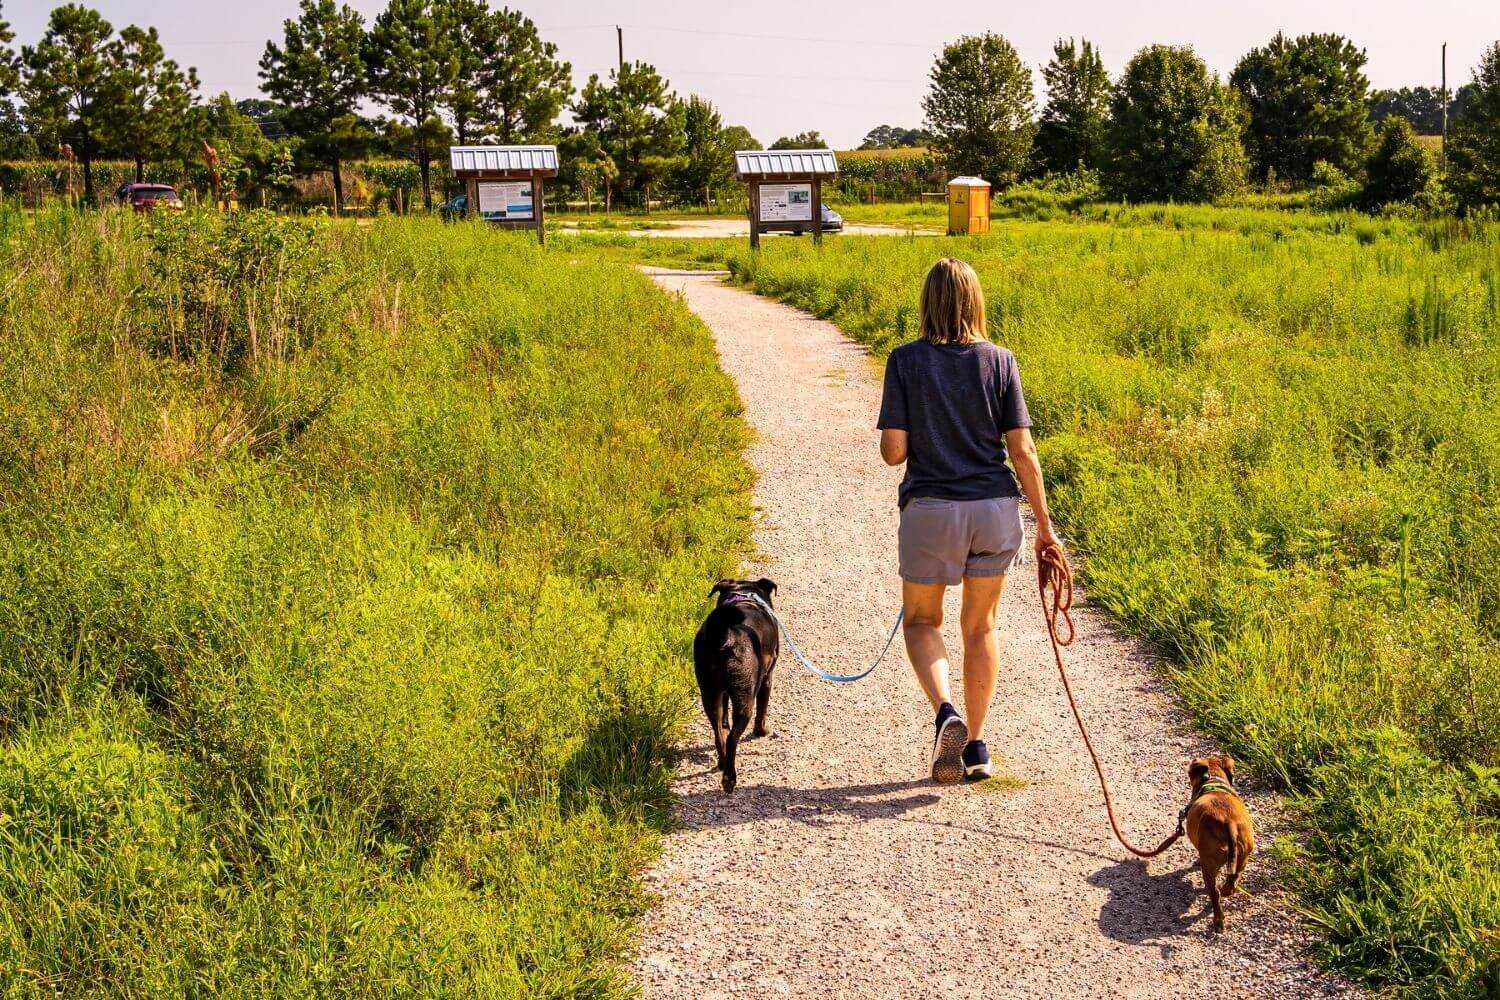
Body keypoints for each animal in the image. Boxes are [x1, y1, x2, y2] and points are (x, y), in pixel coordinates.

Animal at [693, 578, 780, 791]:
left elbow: (724, 721)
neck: (744, 593)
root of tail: (725, 635)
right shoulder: (767, 679)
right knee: (733, 738)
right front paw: (761, 731)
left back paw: (722, 763)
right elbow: (762, 710)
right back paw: (729, 778)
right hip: (745, 697)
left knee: (719, 731)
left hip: (709, 692)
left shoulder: (722, 693)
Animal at [1182, 758, 1254, 929]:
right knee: (1231, 883)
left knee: (1214, 892)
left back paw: (1218, 920)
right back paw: (1226, 891)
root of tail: (1229, 823)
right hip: (1242, 858)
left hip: (1208, 866)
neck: (1213, 778)